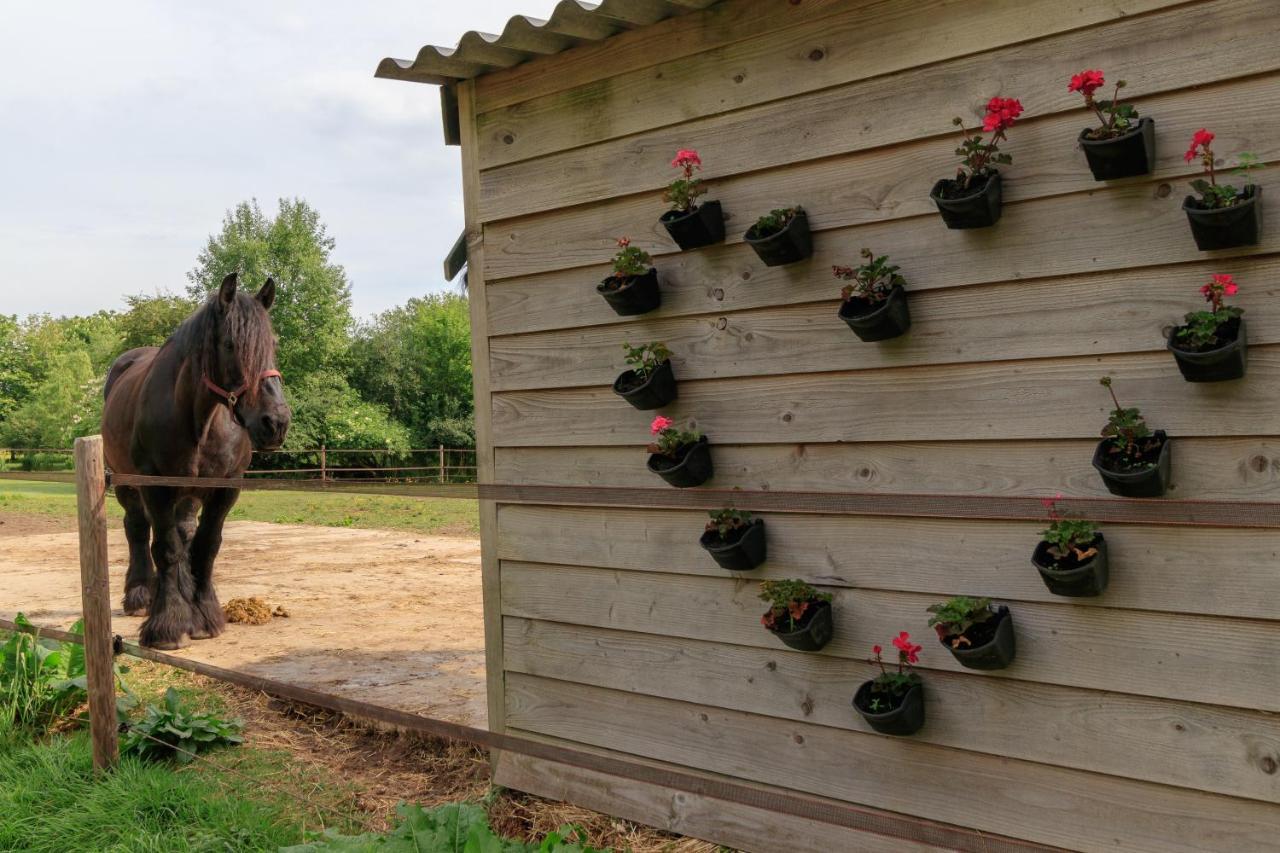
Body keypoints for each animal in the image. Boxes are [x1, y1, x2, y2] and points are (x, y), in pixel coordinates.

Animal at [101, 275, 290, 648]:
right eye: (231, 344)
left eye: (273, 343)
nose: (274, 423)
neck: (199, 418)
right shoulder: (156, 487)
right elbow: (165, 547)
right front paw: (168, 624)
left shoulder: (225, 487)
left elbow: (205, 545)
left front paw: (203, 615)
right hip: (127, 482)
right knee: (137, 528)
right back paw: (141, 594)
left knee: (184, 531)